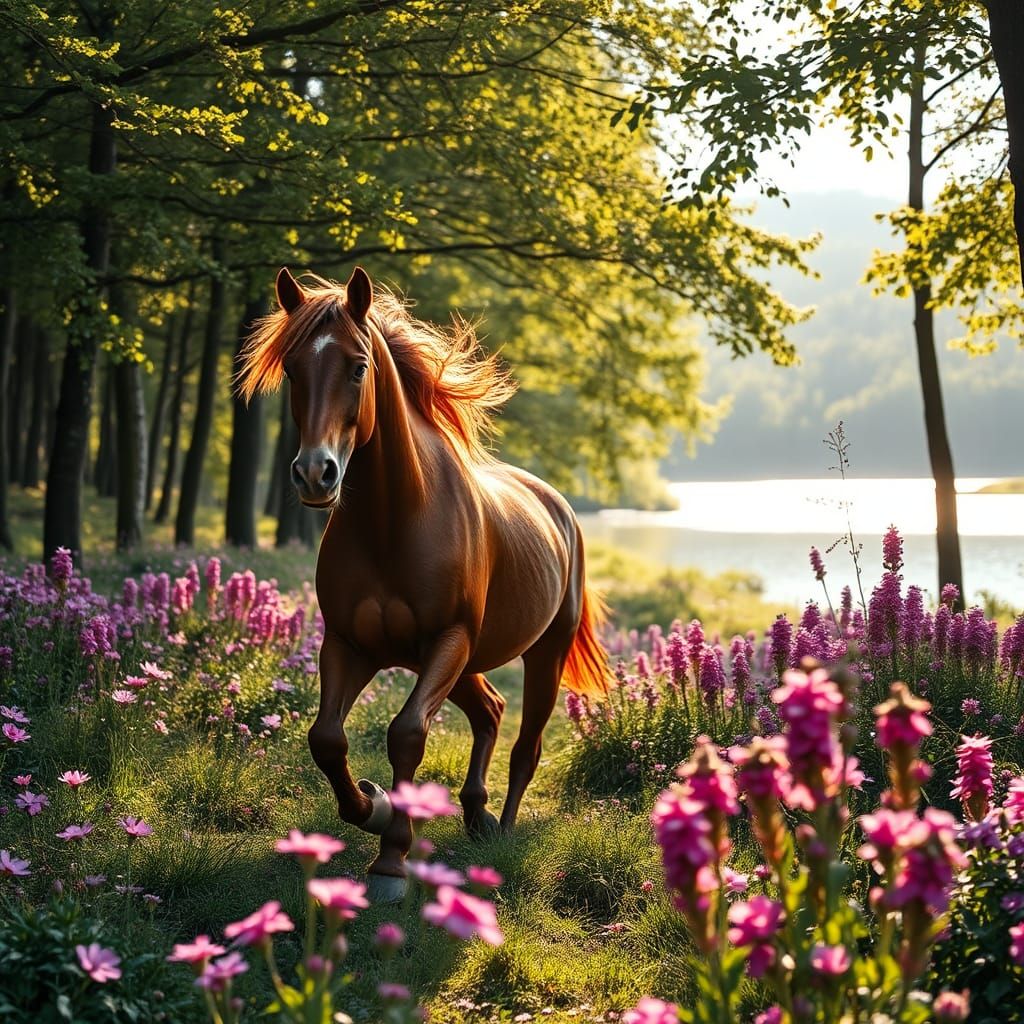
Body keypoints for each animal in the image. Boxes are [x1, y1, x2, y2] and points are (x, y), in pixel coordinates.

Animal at [239, 266, 611, 898]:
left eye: (358, 366)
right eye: (291, 369)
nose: (315, 474)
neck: (395, 520)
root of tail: (558, 505)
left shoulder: (447, 639)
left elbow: (407, 733)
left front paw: (392, 858)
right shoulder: (350, 645)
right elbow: (327, 738)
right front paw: (373, 805)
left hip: (540, 653)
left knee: (526, 744)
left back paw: (503, 828)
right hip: (461, 664)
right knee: (489, 710)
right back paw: (476, 813)